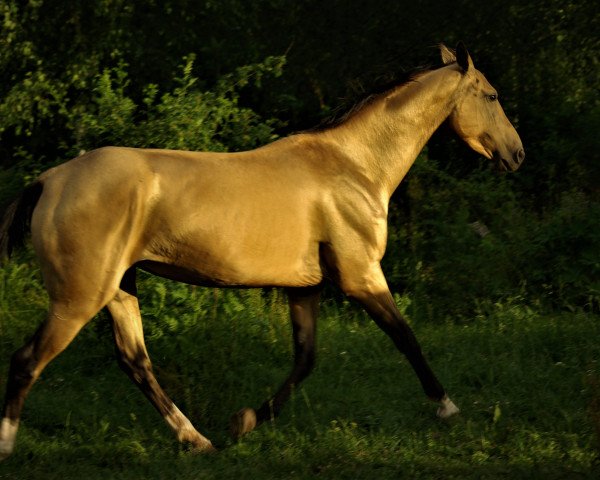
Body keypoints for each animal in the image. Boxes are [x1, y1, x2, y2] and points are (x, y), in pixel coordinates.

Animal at [0, 42, 524, 458]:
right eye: (492, 95)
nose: (517, 154)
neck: (355, 166)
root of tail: (50, 180)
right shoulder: (361, 276)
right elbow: (406, 337)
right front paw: (448, 408)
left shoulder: (305, 288)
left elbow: (305, 359)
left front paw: (245, 421)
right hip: (79, 296)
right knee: (27, 360)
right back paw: (8, 445)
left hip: (119, 288)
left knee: (135, 362)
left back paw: (197, 440)